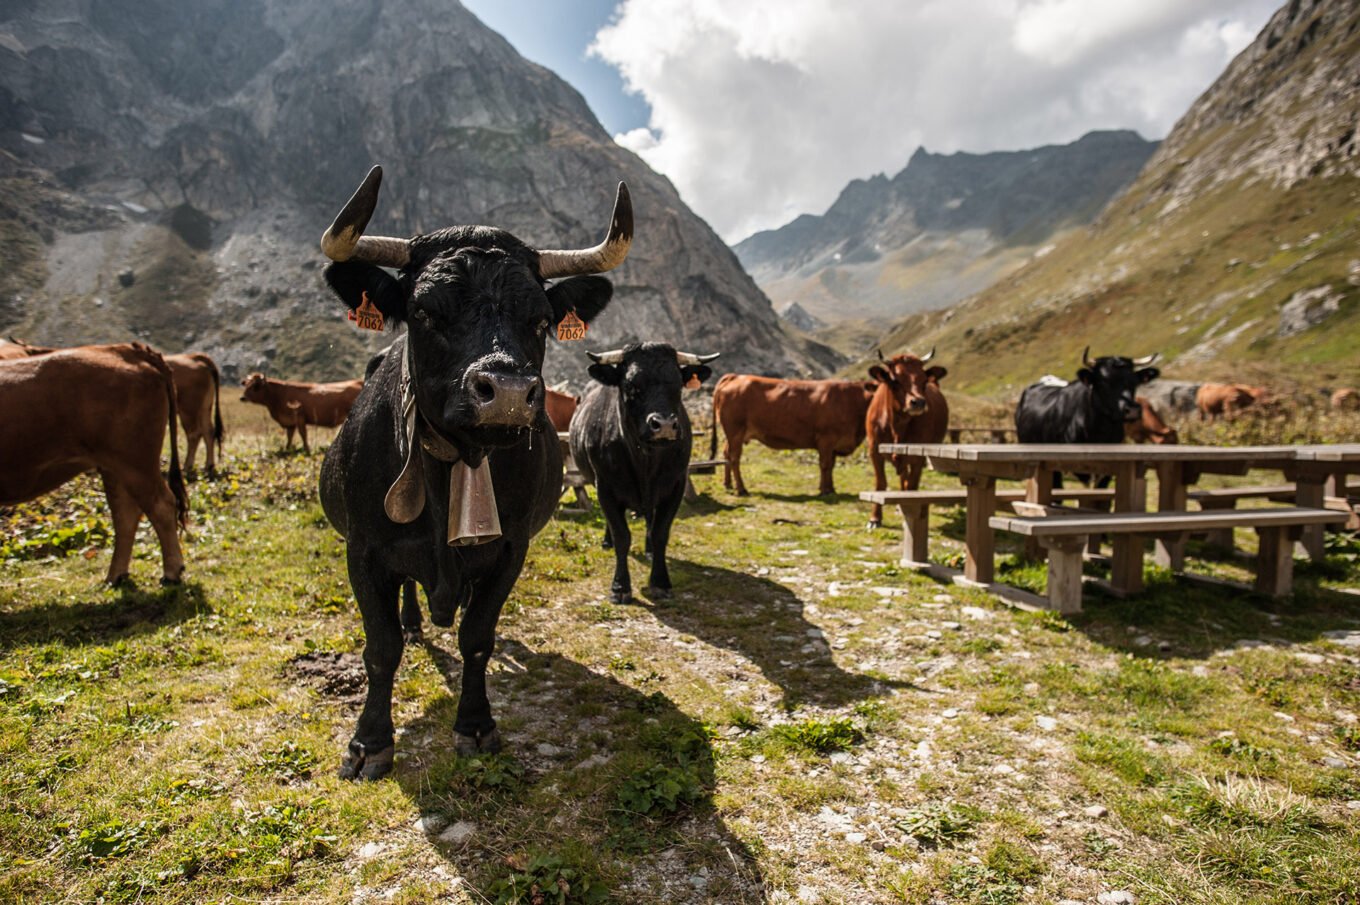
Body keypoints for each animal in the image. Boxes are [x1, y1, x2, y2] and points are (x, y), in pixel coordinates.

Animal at [0, 342, 189, 582]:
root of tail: (124, 349)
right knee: (125, 514)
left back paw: (171, 571)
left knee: (160, 505)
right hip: (114, 467)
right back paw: (116, 576)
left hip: (135, 463)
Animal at [318, 163, 631, 778]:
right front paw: (369, 743)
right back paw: (415, 622)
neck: (454, 468)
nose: (506, 393)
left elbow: (478, 637)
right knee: (406, 606)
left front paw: (476, 725)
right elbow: (380, 647)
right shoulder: (363, 550)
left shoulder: (510, 549)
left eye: (541, 320)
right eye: (422, 311)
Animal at [568, 342, 718, 604]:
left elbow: (660, 533)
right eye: (630, 386)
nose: (665, 425)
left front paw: (660, 582)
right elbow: (621, 535)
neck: (645, 462)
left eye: (678, 384)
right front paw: (620, 587)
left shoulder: (675, 485)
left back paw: (648, 550)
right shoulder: (605, 486)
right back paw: (607, 542)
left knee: (650, 519)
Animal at [707, 372, 875, 495]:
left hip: (733, 435)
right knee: (734, 458)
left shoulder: (834, 444)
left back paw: (728, 484)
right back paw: (741, 489)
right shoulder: (826, 439)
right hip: (735, 431)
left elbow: (831, 466)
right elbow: (825, 465)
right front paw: (824, 490)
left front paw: (831, 489)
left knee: (726, 454)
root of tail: (736, 376)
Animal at [864, 347, 952, 530]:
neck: (897, 425)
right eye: (895, 381)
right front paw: (875, 518)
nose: (918, 402)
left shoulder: (918, 456)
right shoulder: (874, 451)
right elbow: (880, 484)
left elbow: (912, 485)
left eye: (924, 381)